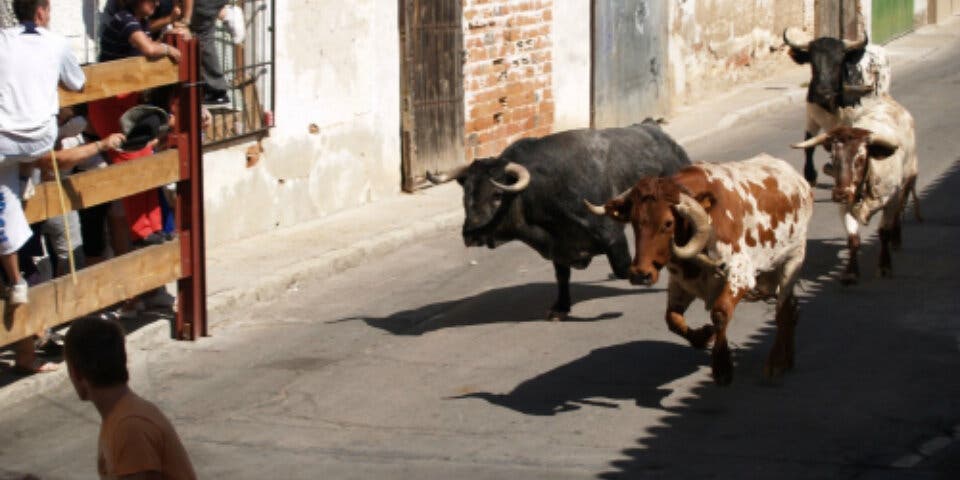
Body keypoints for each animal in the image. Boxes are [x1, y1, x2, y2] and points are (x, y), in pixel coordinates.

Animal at [430, 118, 688, 320]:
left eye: (496, 195)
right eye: (466, 194)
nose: (470, 234)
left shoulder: (612, 237)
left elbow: (624, 269)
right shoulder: (559, 248)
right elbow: (562, 276)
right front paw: (561, 308)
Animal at [580, 156, 812, 384]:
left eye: (668, 223)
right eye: (635, 223)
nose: (640, 274)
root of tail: (799, 181)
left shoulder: (741, 276)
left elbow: (720, 313)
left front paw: (722, 366)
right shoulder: (681, 283)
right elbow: (672, 319)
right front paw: (704, 335)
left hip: (791, 262)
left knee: (783, 311)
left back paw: (777, 361)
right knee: (792, 308)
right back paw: (787, 357)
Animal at [792, 92, 920, 284]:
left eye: (860, 158)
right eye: (833, 157)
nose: (840, 194)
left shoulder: (890, 201)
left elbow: (884, 232)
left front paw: (884, 267)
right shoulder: (845, 207)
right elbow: (853, 239)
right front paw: (850, 273)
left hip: (908, 180)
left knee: (900, 210)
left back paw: (896, 240)